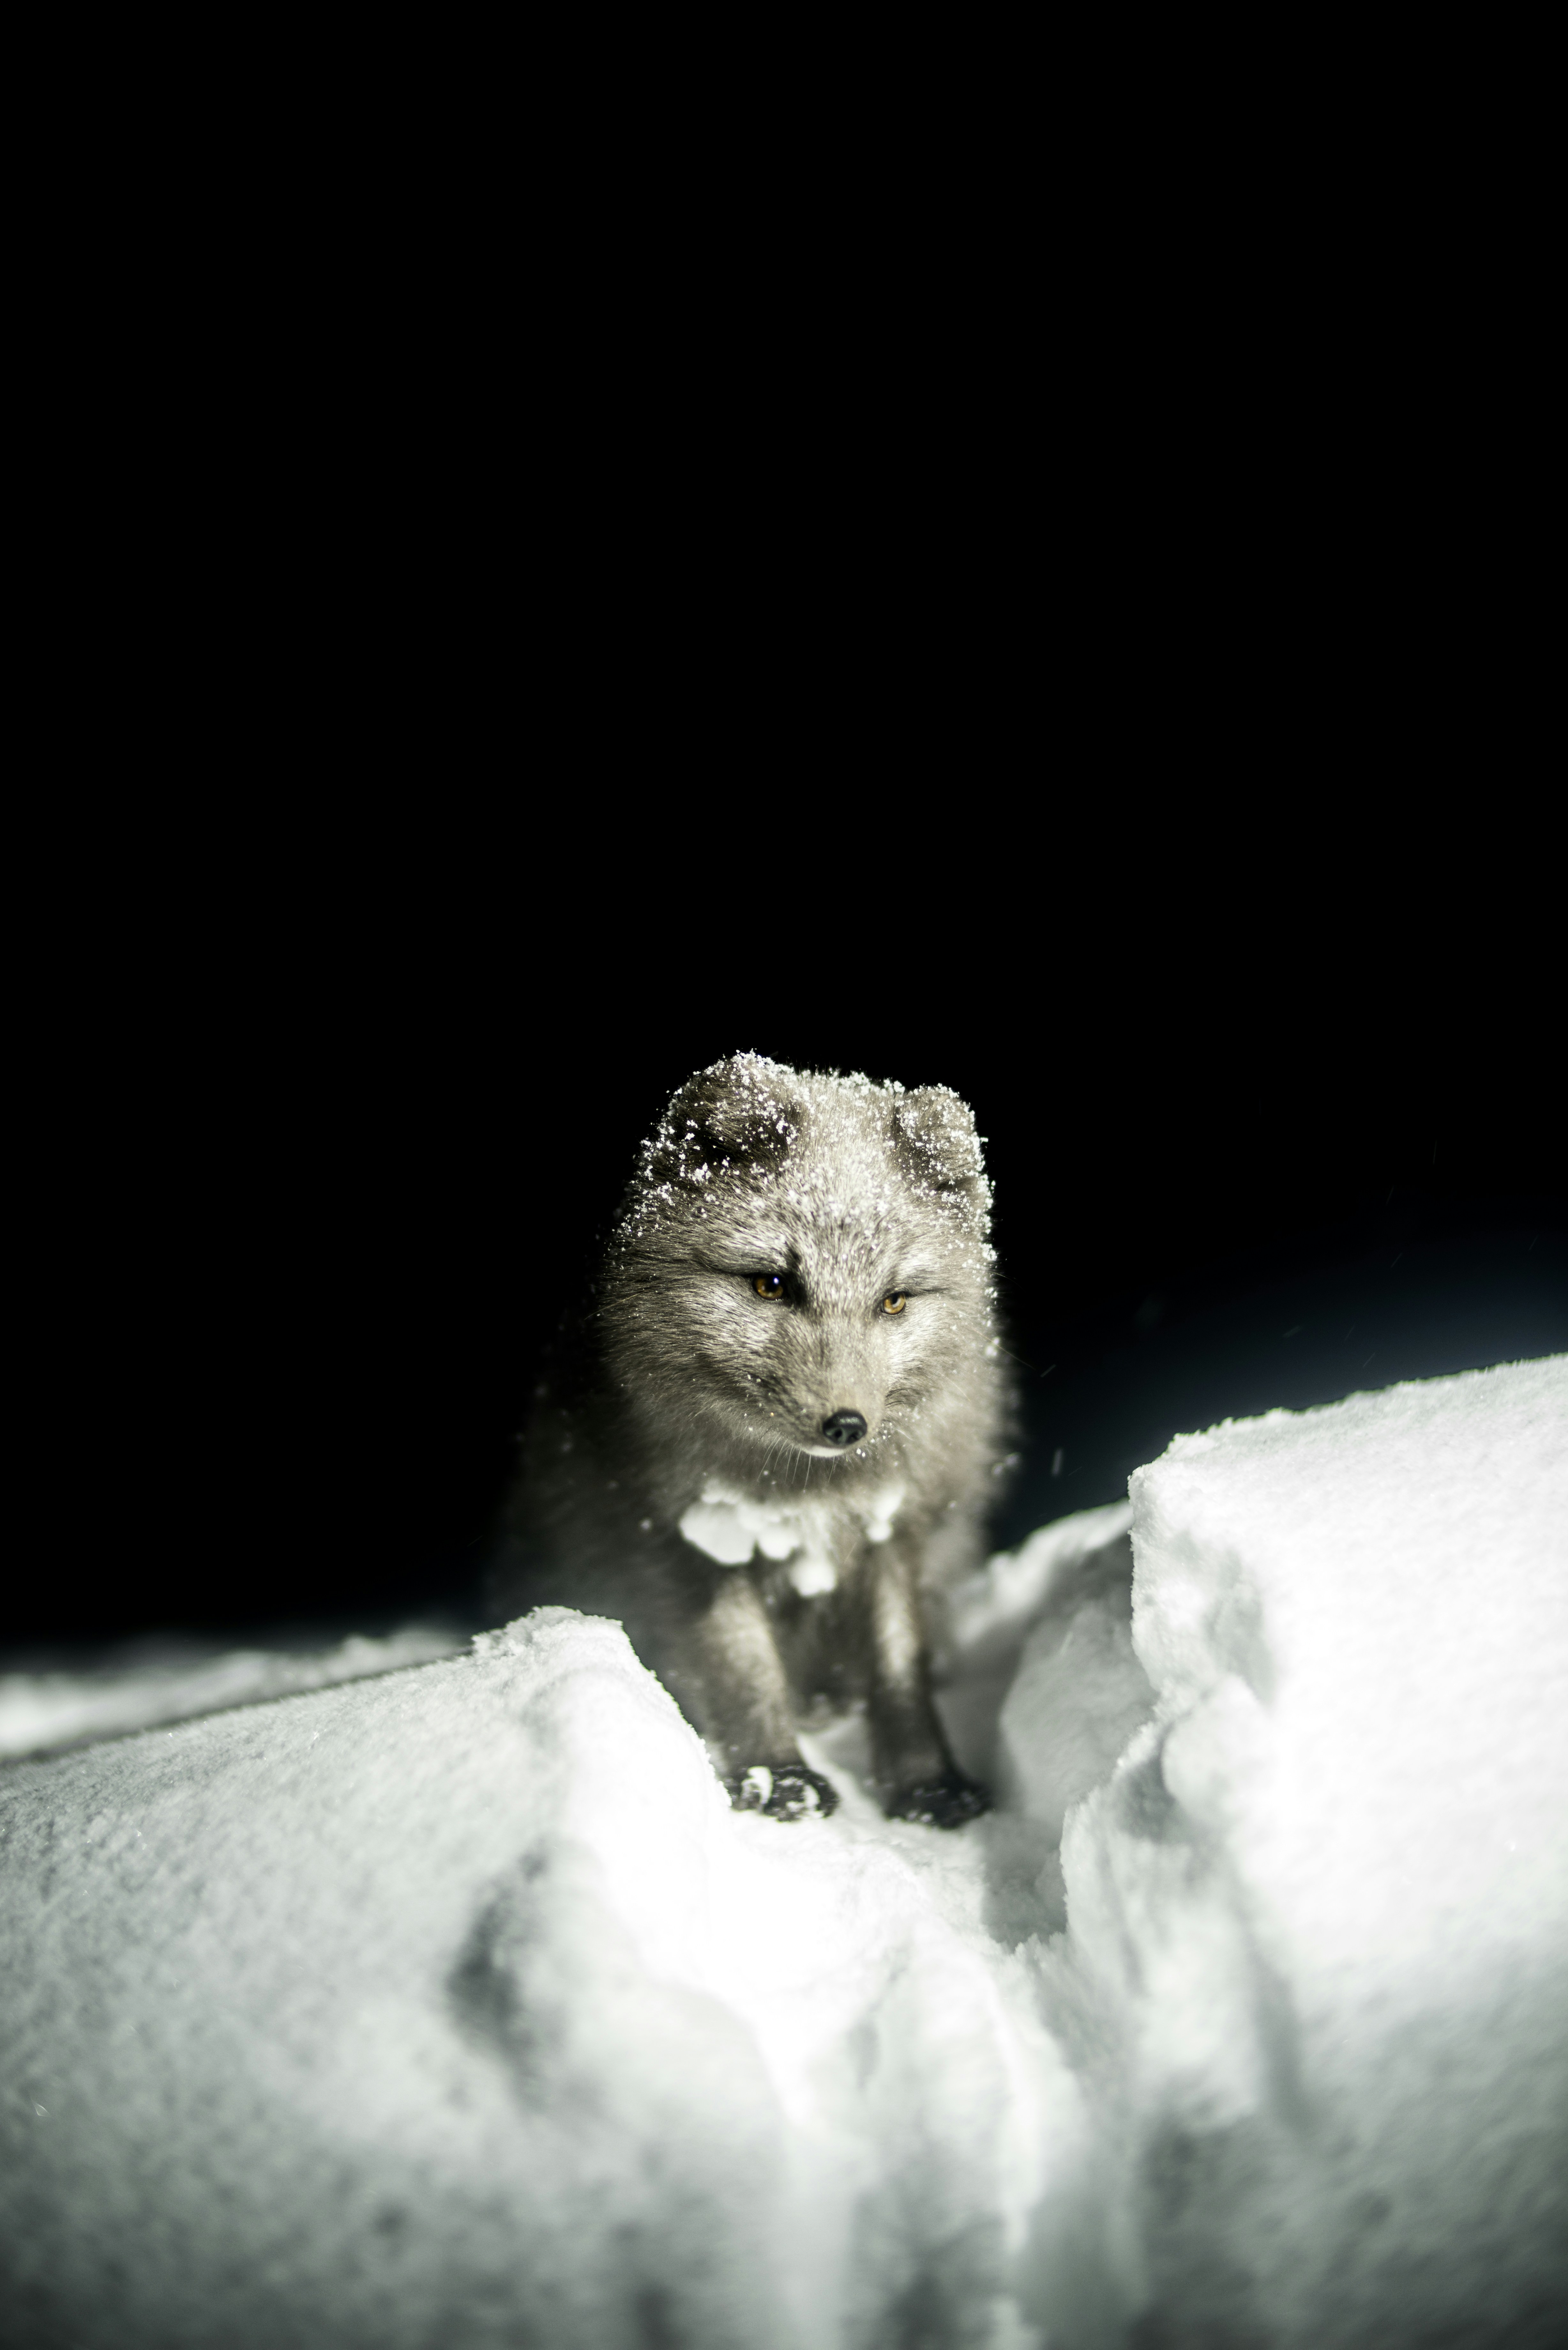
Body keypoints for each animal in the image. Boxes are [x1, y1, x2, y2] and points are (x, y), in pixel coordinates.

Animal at [486, 1053, 1013, 1826]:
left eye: (893, 1300)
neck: (804, 1491)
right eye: (771, 1284)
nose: (845, 1425)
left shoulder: (896, 1529)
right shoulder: (683, 1539)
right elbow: (742, 1664)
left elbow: (900, 1666)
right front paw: (776, 1776)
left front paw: (929, 1783)